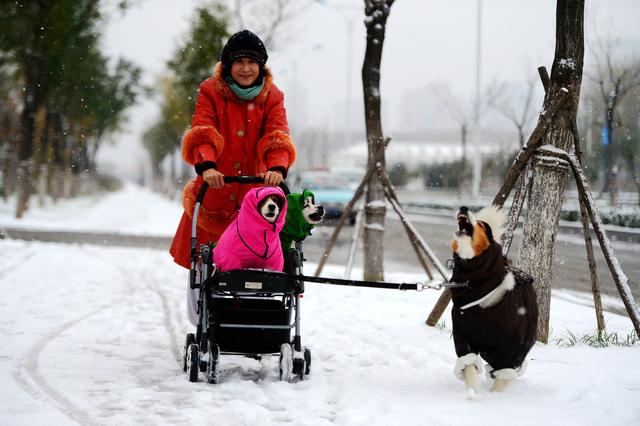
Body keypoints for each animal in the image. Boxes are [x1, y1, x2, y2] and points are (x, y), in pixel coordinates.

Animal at [450, 205, 540, 394]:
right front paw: (474, 394)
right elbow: (468, 365)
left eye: (481, 226)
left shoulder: (510, 349)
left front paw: (495, 399)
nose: (463, 208)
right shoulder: (463, 337)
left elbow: (502, 378)